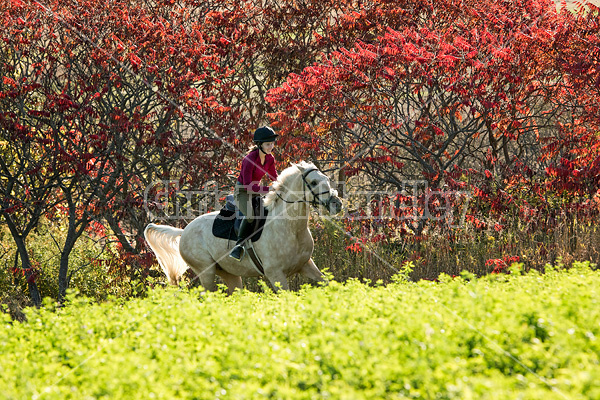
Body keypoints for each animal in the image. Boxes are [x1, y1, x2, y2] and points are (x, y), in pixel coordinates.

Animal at [144, 160, 342, 294]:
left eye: (326, 179)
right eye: (314, 182)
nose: (336, 204)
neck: (292, 228)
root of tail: (184, 231)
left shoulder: (306, 264)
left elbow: (328, 284)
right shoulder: (276, 275)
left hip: (230, 274)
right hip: (206, 272)